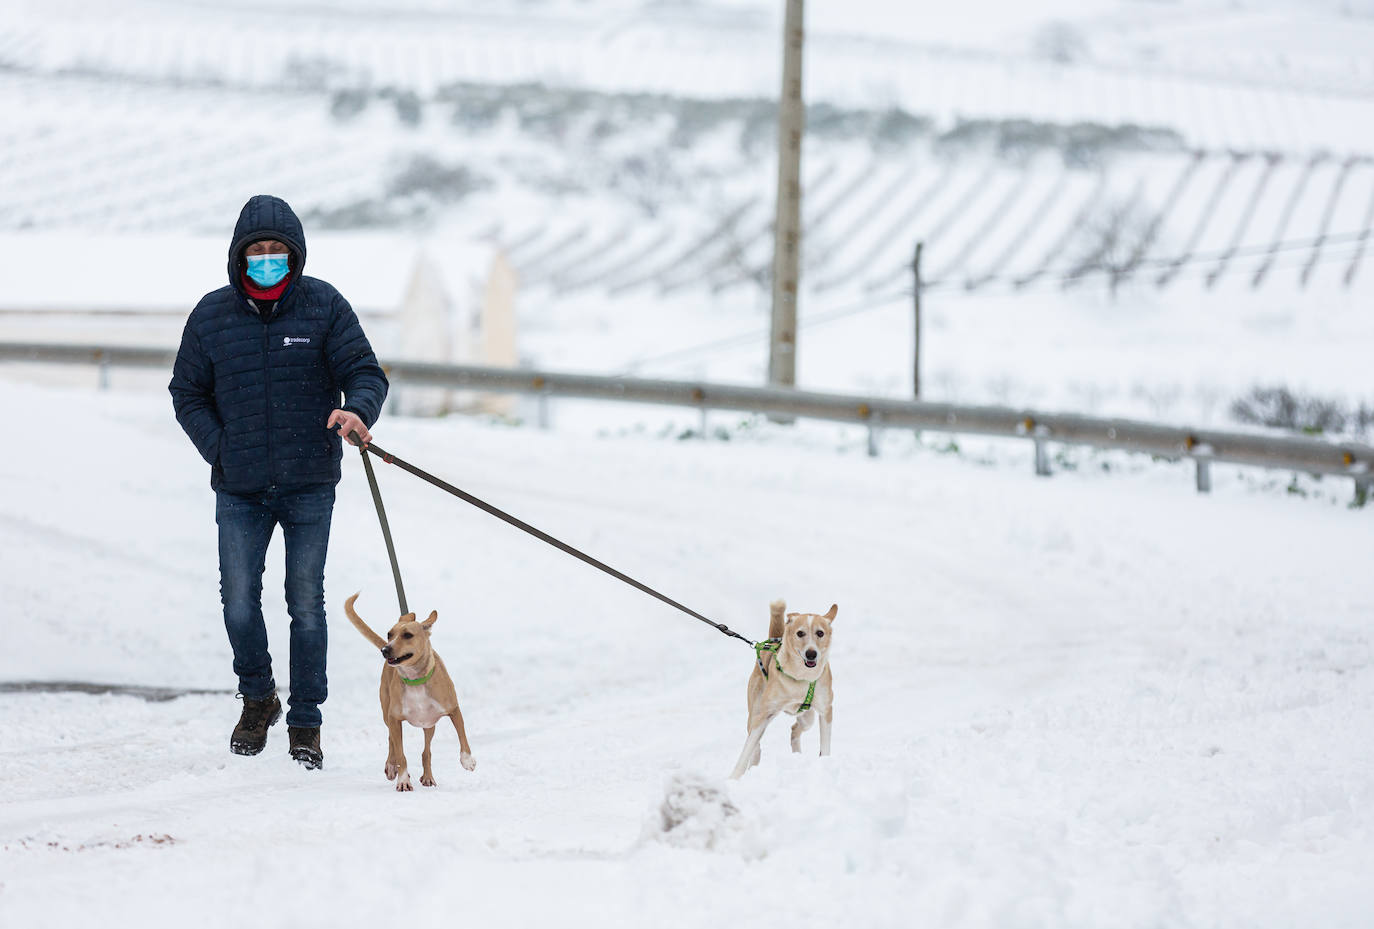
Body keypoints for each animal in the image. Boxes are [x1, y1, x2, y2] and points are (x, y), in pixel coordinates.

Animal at [343, 596, 478, 791]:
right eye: (389, 634)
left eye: (407, 635)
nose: (385, 649)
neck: (415, 680)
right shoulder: (394, 718)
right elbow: (401, 754)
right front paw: (402, 779)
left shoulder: (453, 709)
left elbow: (462, 736)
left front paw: (467, 761)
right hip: (387, 714)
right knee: (391, 740)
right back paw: (391, 766)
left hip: (429, 724)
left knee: (426, 752)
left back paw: (428, 777)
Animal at [730, 599, 835, 780]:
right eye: (800, 633)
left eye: (820, 633)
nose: (811, 654)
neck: (801, 676)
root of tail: (773, 641)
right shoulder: (764, 714)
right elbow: (746, 750)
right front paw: (733, 778)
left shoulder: (825, 710)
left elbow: (825, 746)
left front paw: (825, 765)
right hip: (755, 713)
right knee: (755, 744)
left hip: (807, 718)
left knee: (794, 730)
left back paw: (797, 756)